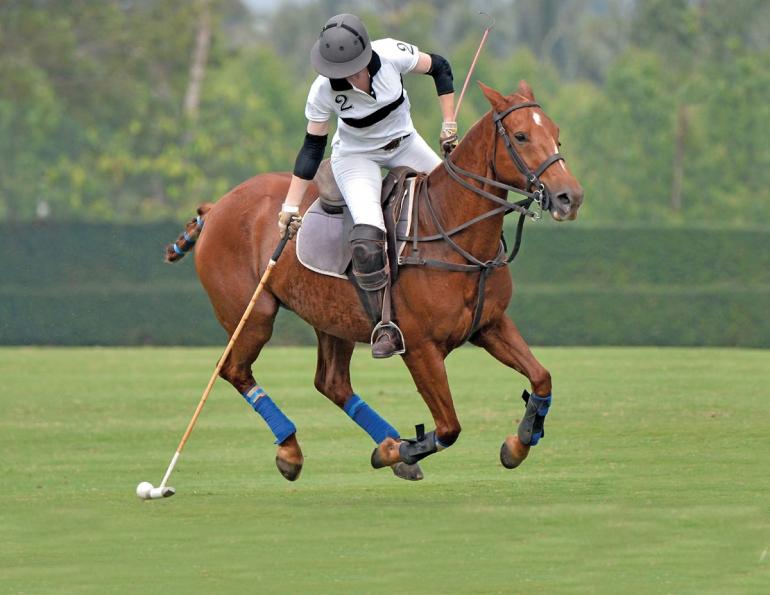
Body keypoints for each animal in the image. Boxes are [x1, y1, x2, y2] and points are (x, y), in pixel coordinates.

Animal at [165, 80, 583, 482]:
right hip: (252, 313)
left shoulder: (491, 325)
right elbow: (449, 427)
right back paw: (292, 449)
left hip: (330, 317)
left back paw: (380, 442)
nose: (570, 197)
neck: (451, 232)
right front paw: (399, 451)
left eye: (557, 134)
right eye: (521, 136)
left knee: (331, 382)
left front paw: (520, 441)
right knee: (233, 370)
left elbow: (542, 377)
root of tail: (216, 207)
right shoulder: (420, 347)